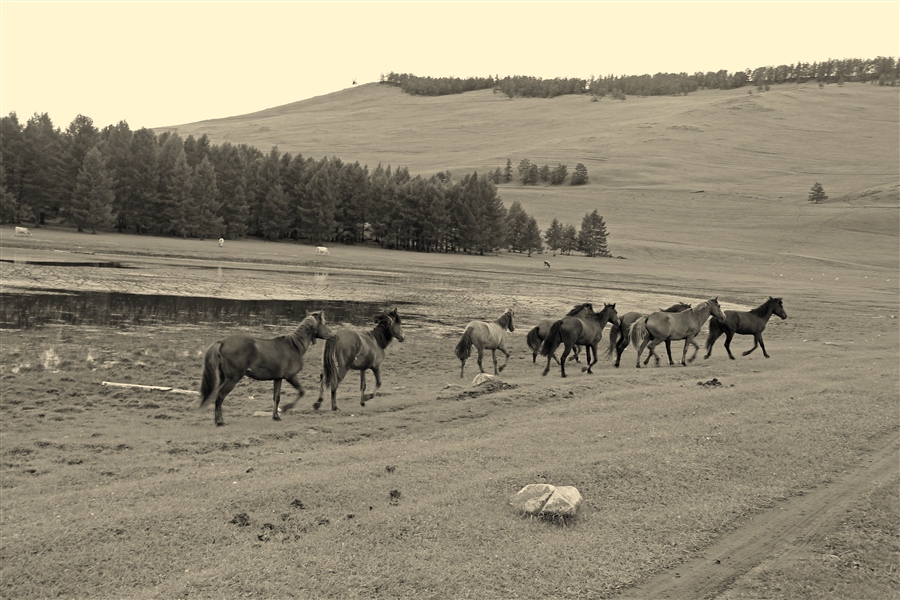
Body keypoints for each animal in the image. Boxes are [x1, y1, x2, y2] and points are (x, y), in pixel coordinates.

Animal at [200, 312, 334, 424]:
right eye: (324, 323)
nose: (333, 335)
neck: (294, 346)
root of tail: (222, 342)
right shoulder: (291, 376)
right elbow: (301, 392)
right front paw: (285, 408)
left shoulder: (278, 378)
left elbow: (277, 397)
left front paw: (276, 416)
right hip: (232, 379)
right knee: (220, 396)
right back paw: (219, 422)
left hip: (224, 378)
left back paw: (218, 420)